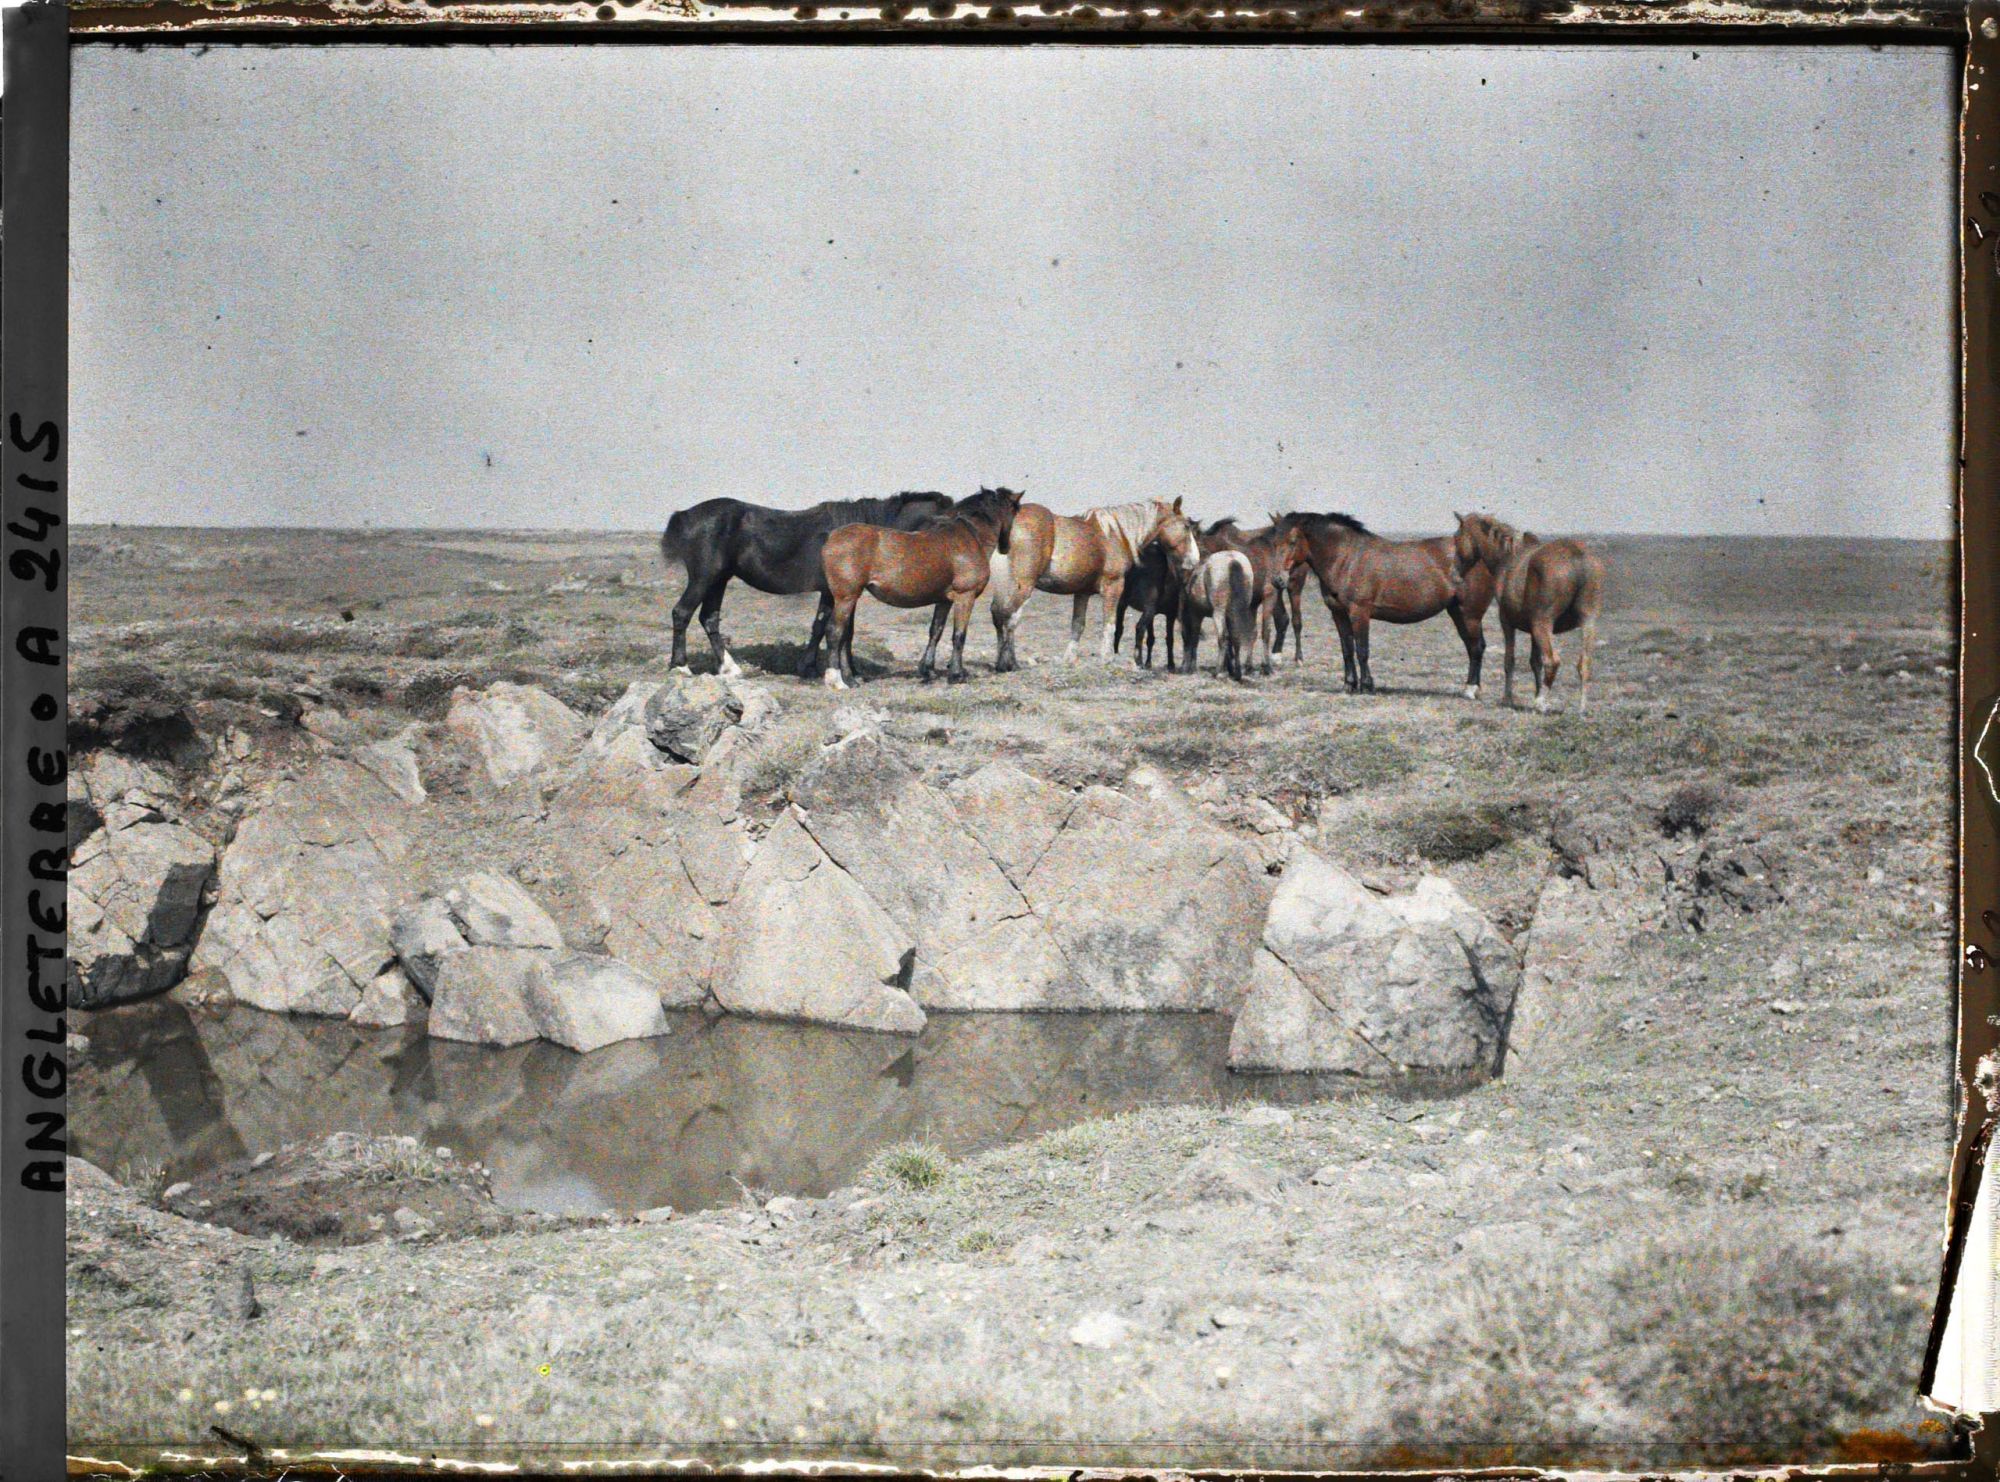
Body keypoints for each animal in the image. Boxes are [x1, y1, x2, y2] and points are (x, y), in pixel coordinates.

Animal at [660, 491, 954, 678]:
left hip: (718, 580)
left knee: (709, 618)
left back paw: (729, 668)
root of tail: (685, 515)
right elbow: (839, 630)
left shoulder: (835, 593)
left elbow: (826, 627)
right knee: (682, 613)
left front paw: (816, 668)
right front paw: (842, 672)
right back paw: (680, 666)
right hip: (704, 577)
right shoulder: (840, 593)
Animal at [821, 487, 1026, 689]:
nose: (1006, 547)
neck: (971, 537)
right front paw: (957, 675)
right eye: (1014, 511)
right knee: (835, 632)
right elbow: (959, 635)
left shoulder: (944, 601)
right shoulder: (965, 597)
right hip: (846, 598)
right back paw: (837, 681)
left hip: (849, 598)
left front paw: (928, 670)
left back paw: (850, 679)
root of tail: (831, 538)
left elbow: (936, 631)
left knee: (845, 636)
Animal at [1111, 539, 1185, 670]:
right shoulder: (1168, 613)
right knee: (1139, 627)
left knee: (1119, 628)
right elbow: (1169, 638)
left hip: (1123, 603)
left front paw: (1149, 663)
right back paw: (1138, 659)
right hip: (1147, 608)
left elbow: (1151, 639)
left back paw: (1116, 654)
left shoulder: (1154, 613)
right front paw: (1171, 664)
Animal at [1275, 511, 1496, 698]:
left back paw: (1470, 689)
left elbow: (1362, 650)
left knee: (1476, 647)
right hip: (1457, 612)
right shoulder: (1338, 613)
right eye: (1274, 542)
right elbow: (1347, 650)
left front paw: (1367, 686)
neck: (1347, 558)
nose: (1278, 580)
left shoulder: (1359, 612)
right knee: (1472, 646)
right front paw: (1349, 685)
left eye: (1292, 541)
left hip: (1470, 614)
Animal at [1451, 512, 1605, 713]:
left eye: (1457, 537)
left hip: (1542, 624)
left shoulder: (1507, 622)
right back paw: (1581, 708)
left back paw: (1541, 703)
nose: (1454, 574)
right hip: (1588, 623)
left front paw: (1508, 699)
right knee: (1584, 663)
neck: (1508, 558)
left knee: (1552, 661)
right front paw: (1535, 693)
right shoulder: (1532, 631)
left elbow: (1510, 660)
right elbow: (1535, 662)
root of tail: (1577, 556)